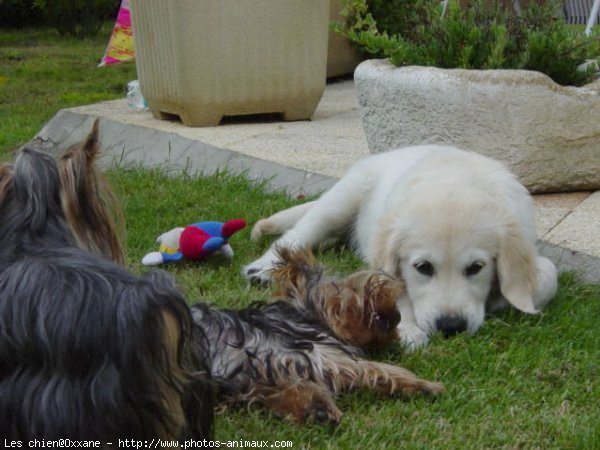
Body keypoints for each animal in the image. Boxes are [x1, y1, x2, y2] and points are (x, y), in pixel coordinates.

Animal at [195, 250, 442, 426]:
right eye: (354, 289)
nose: (397, 314)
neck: (304, 317)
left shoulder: (259, 376)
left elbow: (287, 390)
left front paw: (315, 409)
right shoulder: (318, 354)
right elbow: (374, 367)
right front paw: (422, 383)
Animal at [243, 146, 556, 350]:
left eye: (476, 268)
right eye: (423, 268)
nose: (451, 327)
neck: (456, 181)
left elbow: (548, 275)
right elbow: (393, 289)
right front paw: (407, 328)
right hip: (342, 198)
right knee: (298, 233)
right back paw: (261, 269)